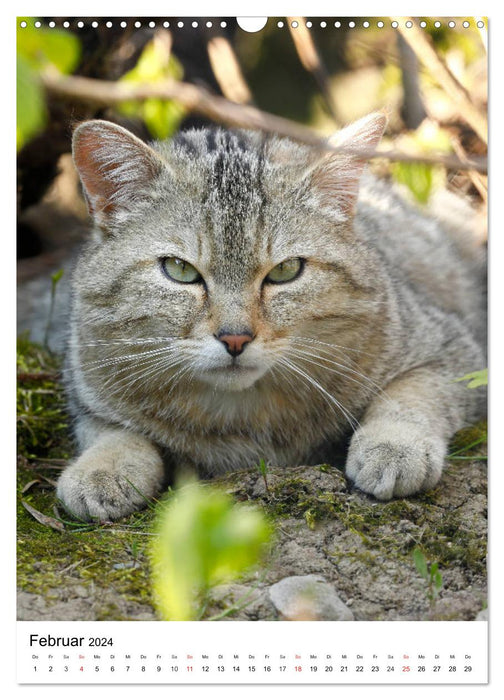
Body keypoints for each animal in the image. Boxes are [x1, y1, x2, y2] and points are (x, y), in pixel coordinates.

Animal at [57, 113, 486, 520]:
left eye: (285, 271)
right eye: (179, 270)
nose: (235, 338)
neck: (242, 417)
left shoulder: (452, 349)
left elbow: (408, 396)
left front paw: (393, 445)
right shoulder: (86, 388)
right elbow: (112, 432)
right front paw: (102, 468)